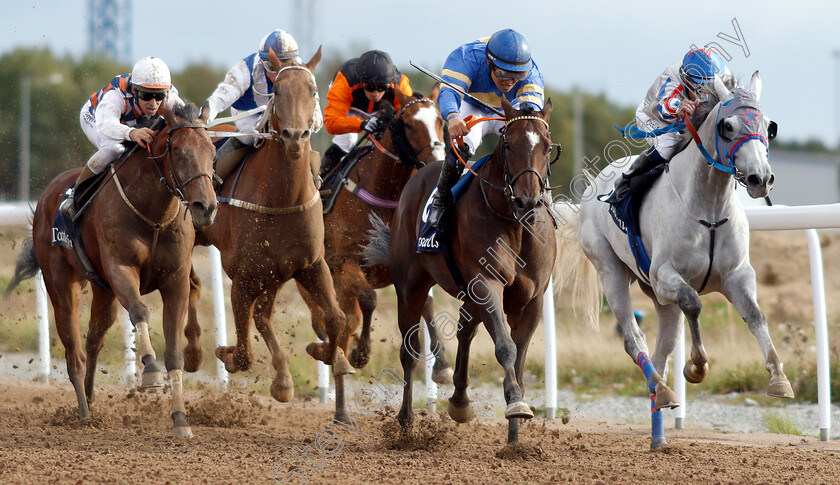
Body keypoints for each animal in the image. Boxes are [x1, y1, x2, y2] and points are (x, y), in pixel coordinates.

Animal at [6, 100, 217, 436]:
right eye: (179, 151)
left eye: (211, 150)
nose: (206, 207)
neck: (153, 215)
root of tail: (47, 197)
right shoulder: (121, 269)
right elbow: (141, 311)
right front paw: (150, 372)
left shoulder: (175, 280)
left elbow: (174, 352)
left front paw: (180, 419)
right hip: (61, 284)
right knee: (74, 352)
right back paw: (83, 412)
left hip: (103, 291)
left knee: (94, 339)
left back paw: (90, 398)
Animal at [190, 47, 354, 420]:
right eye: (277, 91)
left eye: (313, 89)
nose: (295, 137)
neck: (282, 198)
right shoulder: (243, 275)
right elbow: (244, 351)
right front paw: (227, 355)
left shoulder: (310, 265)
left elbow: (335, 318)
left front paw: (325, 355)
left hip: (275, 274)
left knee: (262, 315)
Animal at [296, 84, 456, 416]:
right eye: (408, 124)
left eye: (440, 121)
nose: (437, 161)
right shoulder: (345, 264)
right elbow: (368, 299)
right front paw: (360, 352)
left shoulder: (406, 270)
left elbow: (427, 306)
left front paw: (443, 366)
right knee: (329, 322)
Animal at [366, 97, 556, 442]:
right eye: (509, 144)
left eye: (547, 147)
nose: (527, 201)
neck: (515, 224)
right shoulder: (487, 282)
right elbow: (505, 347)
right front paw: (515, 404)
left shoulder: (532, 299)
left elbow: (520, 358)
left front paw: (515, 436)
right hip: (411, 285)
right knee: (409, 350)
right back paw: (406, 422)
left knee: (465, 330)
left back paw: (460, 402)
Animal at [556, 73, 792, 450]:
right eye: (727, 126)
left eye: (769, 127)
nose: (760, 179)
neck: (709, 211)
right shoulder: (665, 274)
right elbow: (694, 302)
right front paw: (697, 366)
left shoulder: (738, 276)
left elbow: (756, 316)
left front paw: (779, 378)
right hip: (611, 271)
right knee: (633, 338)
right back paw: (664, 391)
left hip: (657, 297)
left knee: (662, 350)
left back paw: (660, 424)